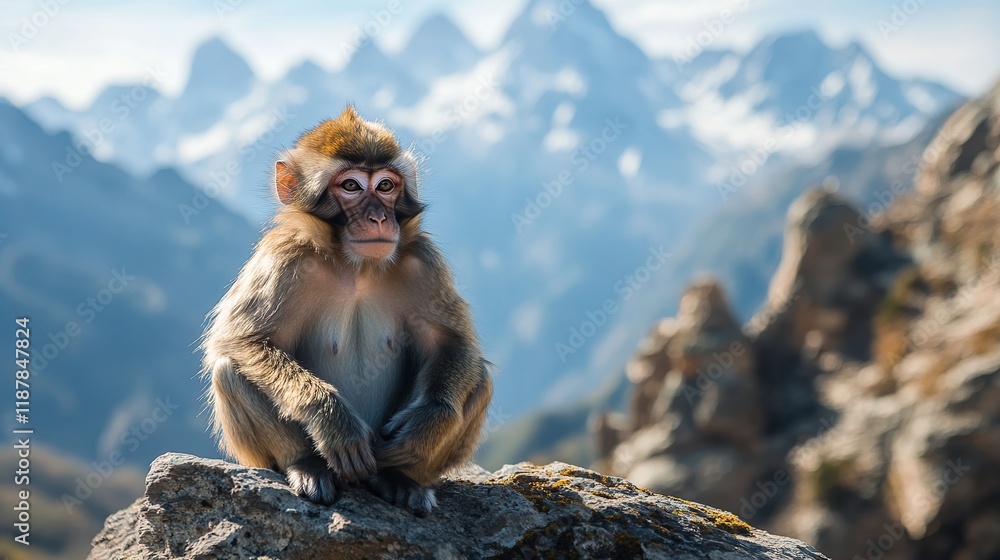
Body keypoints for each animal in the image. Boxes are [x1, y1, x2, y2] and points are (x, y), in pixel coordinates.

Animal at [201, 106, 492, 516]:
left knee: (478, 377)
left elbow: (452, 343)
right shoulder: (284, 259)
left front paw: (426, 426)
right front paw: (332, 420)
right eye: (351, 186)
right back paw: (307, 464)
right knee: (230, 370)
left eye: (385, 186)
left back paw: (401, 478)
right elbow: (245, 341)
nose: (379, 218)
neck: (357, 268)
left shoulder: (424, 262)